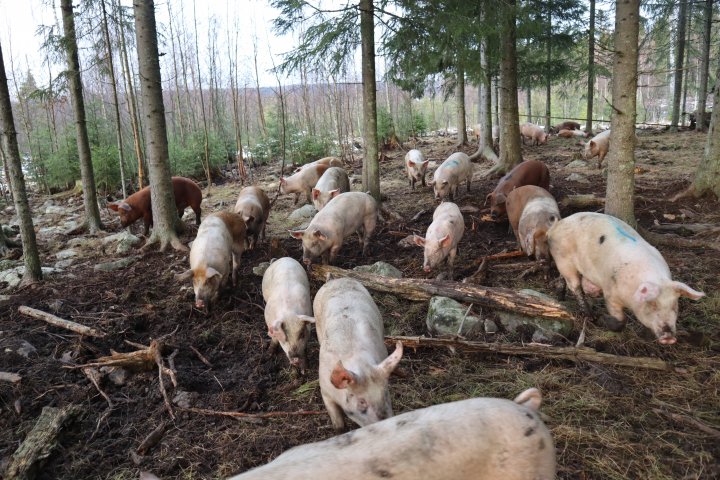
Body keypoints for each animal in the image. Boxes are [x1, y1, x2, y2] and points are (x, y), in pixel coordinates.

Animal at [310, 278, 402, 432]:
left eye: (385, 394)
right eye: (362, 401)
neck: (360, 364)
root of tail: (335, 279)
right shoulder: (325, 391)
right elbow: (338, 422)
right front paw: (340, 431)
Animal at [544, 212, 704, 344]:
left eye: (674, 305)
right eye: (652, 304)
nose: (669, 337)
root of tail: (557, 225)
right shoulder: (610, 294)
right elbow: (621, 320)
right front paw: (602, 320)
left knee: (563, 280)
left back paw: (561, 297)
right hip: (564, 261)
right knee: (575, 286)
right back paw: (590, 316)